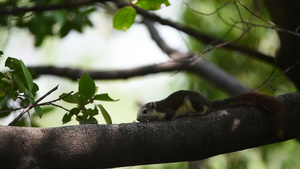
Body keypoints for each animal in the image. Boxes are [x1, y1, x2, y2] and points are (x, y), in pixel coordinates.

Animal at [137, 90, 284, 137]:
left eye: (145, 111)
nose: (137, 119)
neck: (157, 108)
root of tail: (208, 102)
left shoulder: (167, 111)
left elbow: (167, 116)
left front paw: (150, 120)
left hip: (191, 100)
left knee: (203, 110)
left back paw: (194, 113)